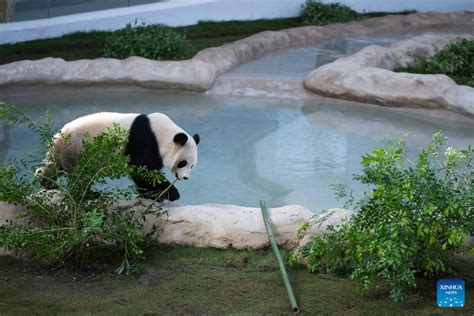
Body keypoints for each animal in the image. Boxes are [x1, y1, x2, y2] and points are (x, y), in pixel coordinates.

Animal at [35, 111, 200, 200]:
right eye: (183, 163)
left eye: (192, 165)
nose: (185, 177)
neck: (161, 132)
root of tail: (56, 139)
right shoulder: (144, 140)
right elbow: (142, 169)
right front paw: (168, 193)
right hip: (76, 151)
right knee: (80, 176)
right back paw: (89, 194)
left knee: (53, 168)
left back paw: (46, 182)